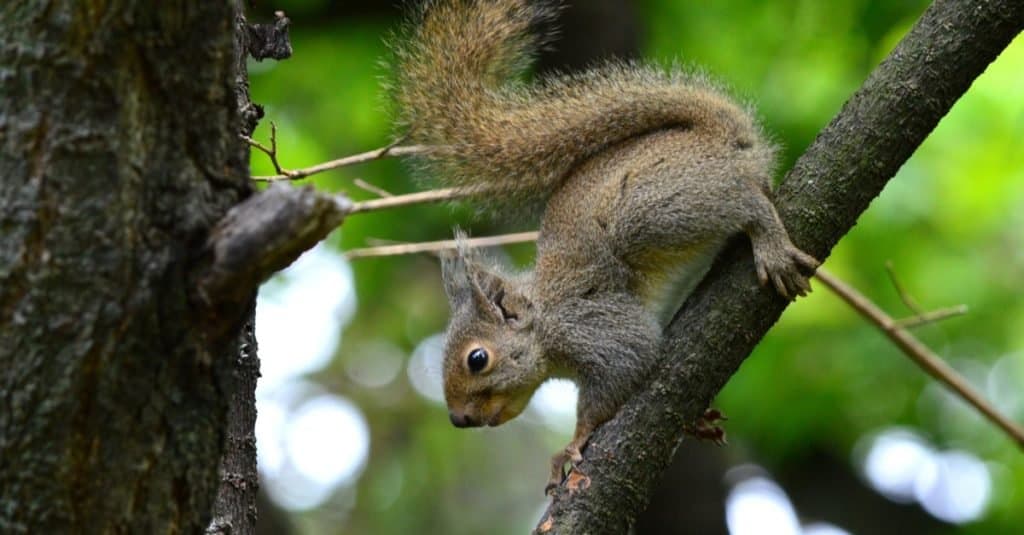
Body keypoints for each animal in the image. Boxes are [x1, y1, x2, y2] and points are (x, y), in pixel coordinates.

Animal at [389, 0, 815, 491]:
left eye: (477, 359)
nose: (458, 419)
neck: (544, 318)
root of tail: (719, 135)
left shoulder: (591, 325)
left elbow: (627, 365)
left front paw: (572, 444)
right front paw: (697, 421)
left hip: (655, 207)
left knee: (746, 201)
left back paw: (769, 240)